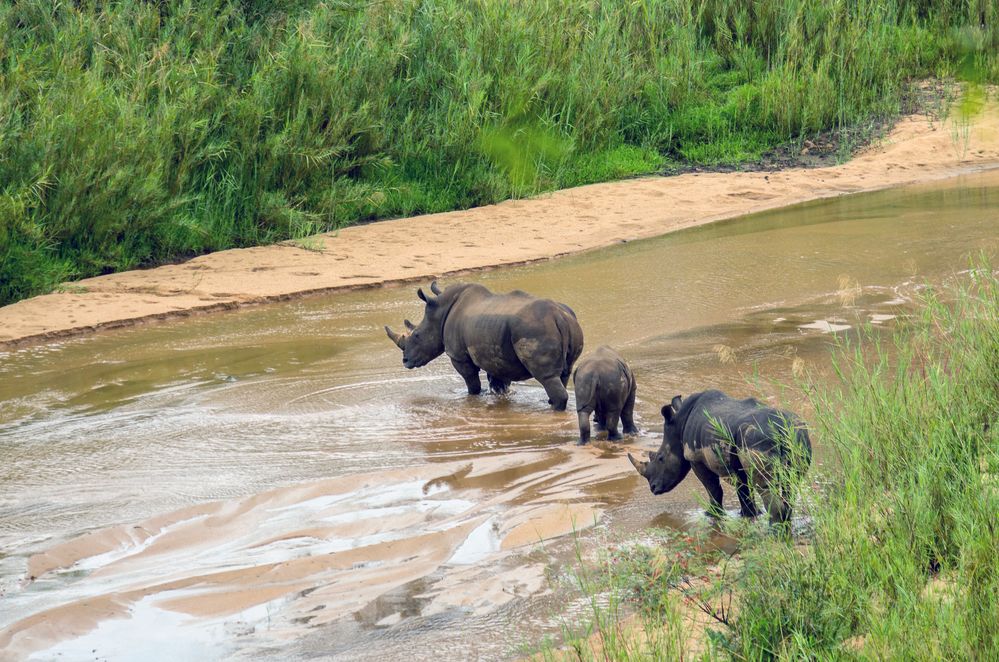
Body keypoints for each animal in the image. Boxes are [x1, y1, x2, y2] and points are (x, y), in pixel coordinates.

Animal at [632, 392, 812, 528]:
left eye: (660, 458)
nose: (653, 488)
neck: (680, 425)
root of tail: (781, 428)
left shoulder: (696, 458)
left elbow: (713, 488)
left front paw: (711, 514)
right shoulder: (737, 465)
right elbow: (743, 490)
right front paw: (748, 515)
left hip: (758, 438)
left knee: (766, 486)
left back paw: (774, 531)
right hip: (798, 435)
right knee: (790, 484)